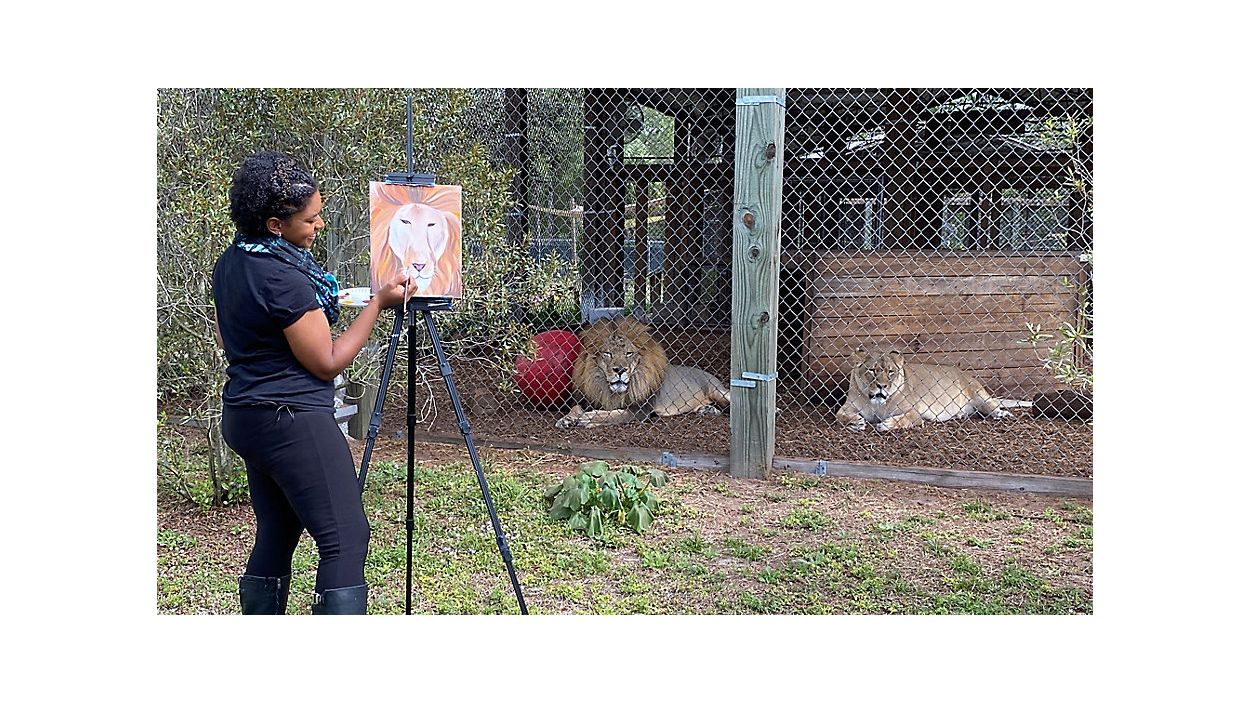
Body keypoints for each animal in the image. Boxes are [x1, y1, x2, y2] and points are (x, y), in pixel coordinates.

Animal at [556, 317, 730, 429]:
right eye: (608, 353)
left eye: (628, 353)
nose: (620, 370)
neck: (609, 390)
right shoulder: (589, 398)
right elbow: (575, 408)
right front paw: (566, 419)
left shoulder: (641, 409)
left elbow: (616, 415)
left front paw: (589, 418)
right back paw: (707, 410)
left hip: (718, 391)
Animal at [835, 349, 1012, 432]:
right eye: (872, 370)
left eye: (890, 372)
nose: (882, 386)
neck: (876, 404)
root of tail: (963, 372)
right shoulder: (848, 406)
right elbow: (840, 415)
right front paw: (856, 422)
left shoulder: (914, 412)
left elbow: (904, 419)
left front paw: (887, 424)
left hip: (977, 393)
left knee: (992, 404)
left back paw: (1001, 413)